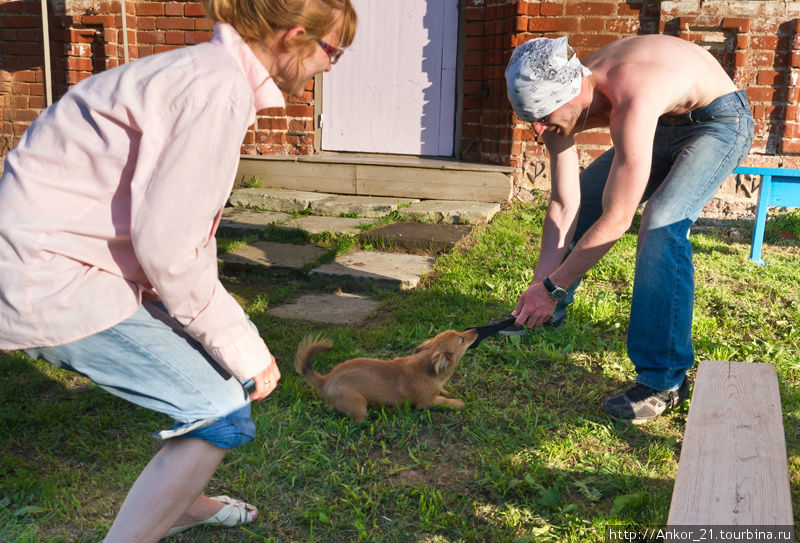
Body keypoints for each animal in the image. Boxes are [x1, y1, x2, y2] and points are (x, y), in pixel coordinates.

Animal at [296, 330, 478, 422]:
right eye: (462, 339)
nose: (476, 329)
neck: (426, 365)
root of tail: (324, 380)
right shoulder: (425, 403)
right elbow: (443, 400)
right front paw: (458, 403)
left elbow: (442, 392)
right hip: (358, 406)